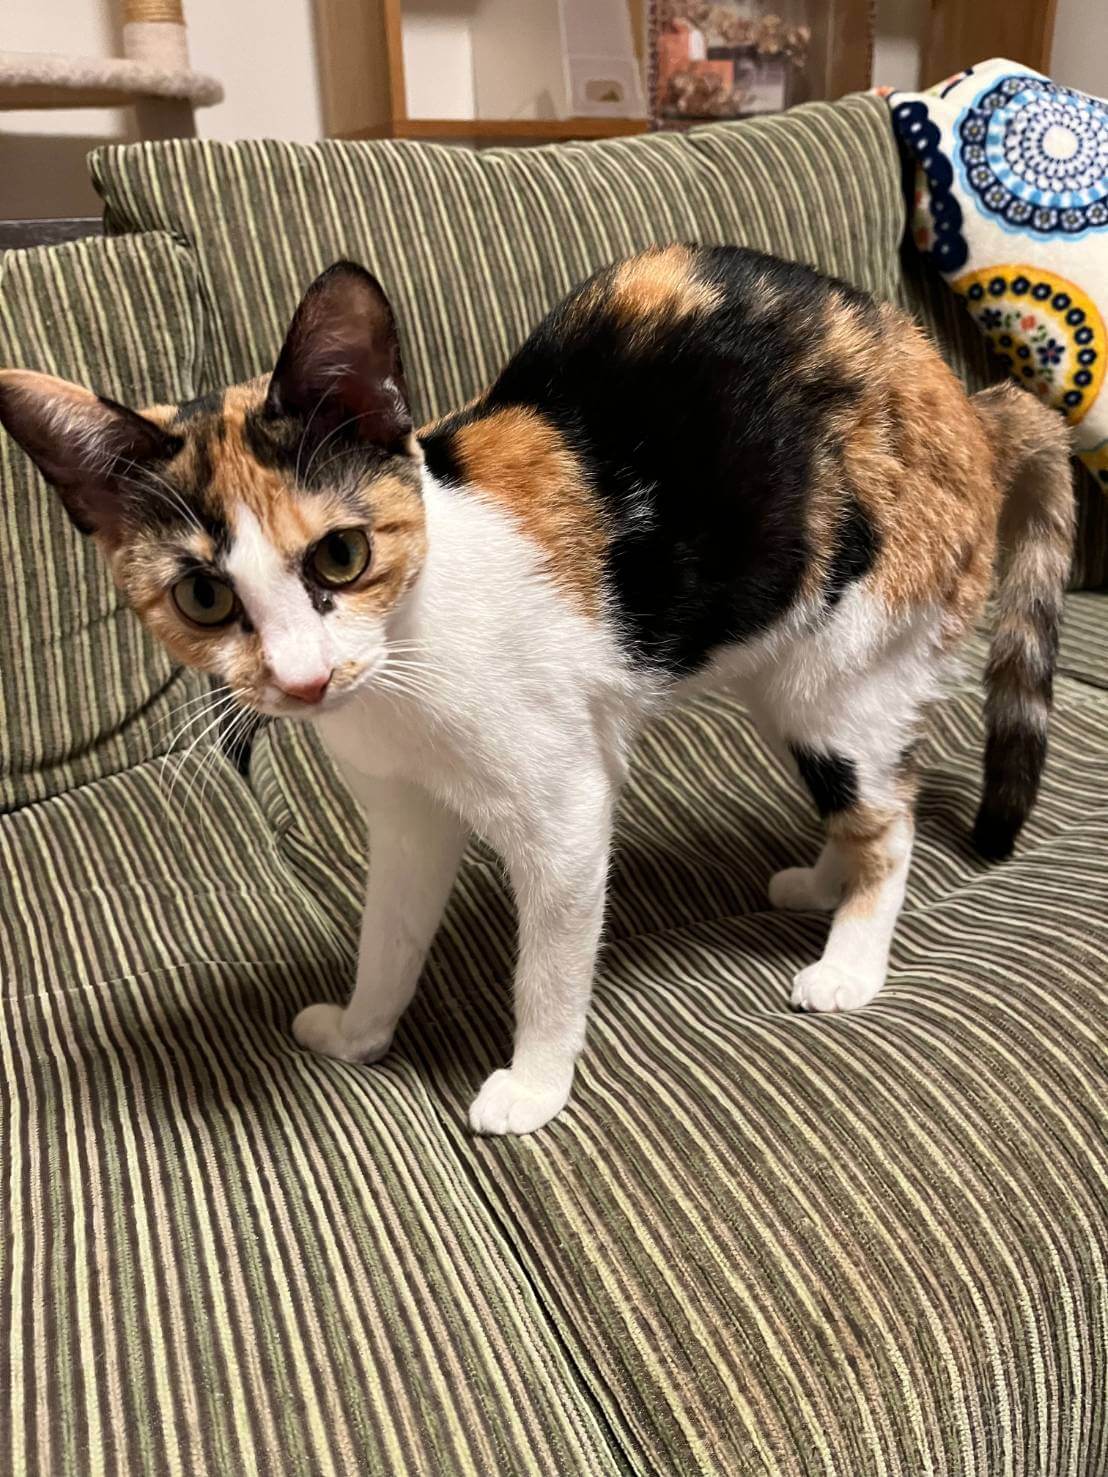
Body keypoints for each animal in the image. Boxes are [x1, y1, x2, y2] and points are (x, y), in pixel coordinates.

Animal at [0, 245, 1074, 1135]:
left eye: (341, 555)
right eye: (204, 596)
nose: (303, 678)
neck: (403, 672)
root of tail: (965, 401)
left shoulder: (564, 810)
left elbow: (547, 967)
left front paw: (535, 1085)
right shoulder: (404, 819)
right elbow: (388, 936)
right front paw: (359, 1032)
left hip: (842, 672)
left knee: (888, 817)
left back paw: (851, 957)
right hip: (786, 677)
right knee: (859, 803)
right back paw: (820, 879)